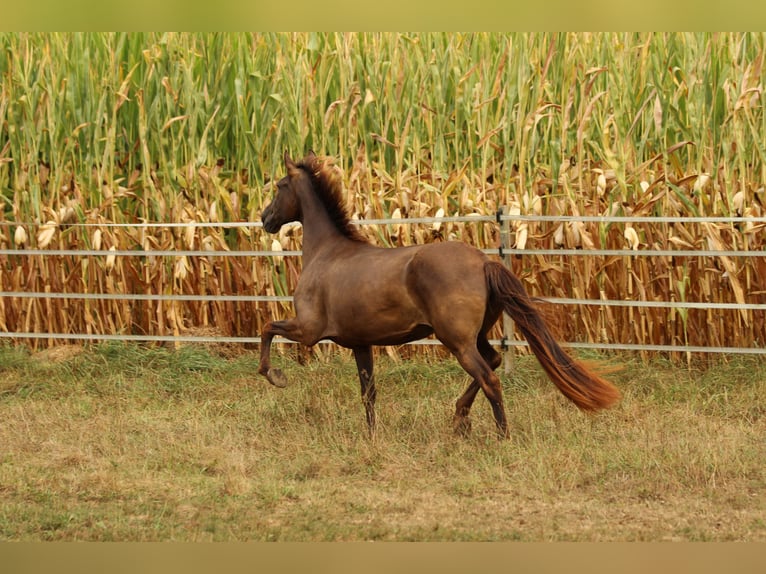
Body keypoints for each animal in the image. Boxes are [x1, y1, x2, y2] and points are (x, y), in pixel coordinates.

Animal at [260, 151, 620, 438]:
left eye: (279, 186)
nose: (266, 219)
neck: (327, 253)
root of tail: (484, 262)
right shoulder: (360, 343)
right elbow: (368, 393)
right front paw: (372, 436)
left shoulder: (308, 330)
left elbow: (267, 329)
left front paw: (276, 376)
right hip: (474, 336)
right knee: (493, 360)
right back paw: (460, 418)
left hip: (457, 341)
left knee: (490, 377)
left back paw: (501, 435)